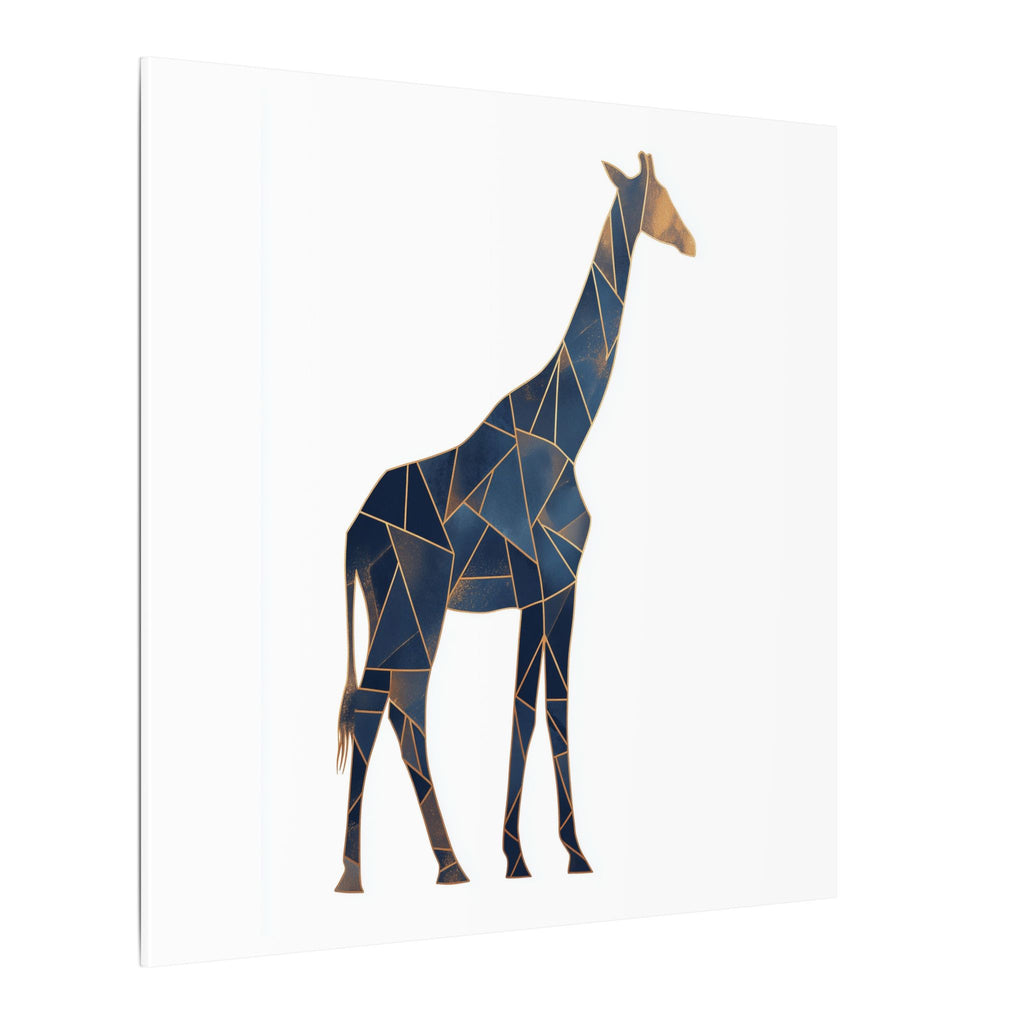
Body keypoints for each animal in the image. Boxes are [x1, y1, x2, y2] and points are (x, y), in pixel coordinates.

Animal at [335, 152, 696, 892]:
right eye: (664, 194)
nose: (692, 240)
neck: (570, 426)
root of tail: (356, 532)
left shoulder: (548, 588)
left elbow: (535, 706)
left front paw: (538, 855)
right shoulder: (554, 580)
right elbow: (543, 705)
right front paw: (554, 855)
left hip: (389, 603)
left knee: (390, 707)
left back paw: (431, 865)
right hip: (418, 605)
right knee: (390, 704)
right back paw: (374, 873)